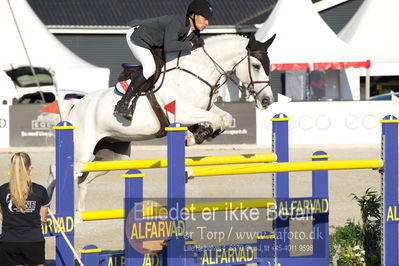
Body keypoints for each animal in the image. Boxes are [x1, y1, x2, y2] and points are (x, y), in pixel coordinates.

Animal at [48, 33, 276, 213]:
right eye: (256, 66)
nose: (267, 100)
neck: (197, 72)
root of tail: (76, 106)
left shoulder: (205, 107)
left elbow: (224, 118)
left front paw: (202, 133)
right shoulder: (180, 111)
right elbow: (215, 119)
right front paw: (198, 135)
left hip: (111, 157)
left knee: (83, 178)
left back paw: (79, 215)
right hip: (81, 150)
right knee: (56, 169)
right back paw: (50, 211)